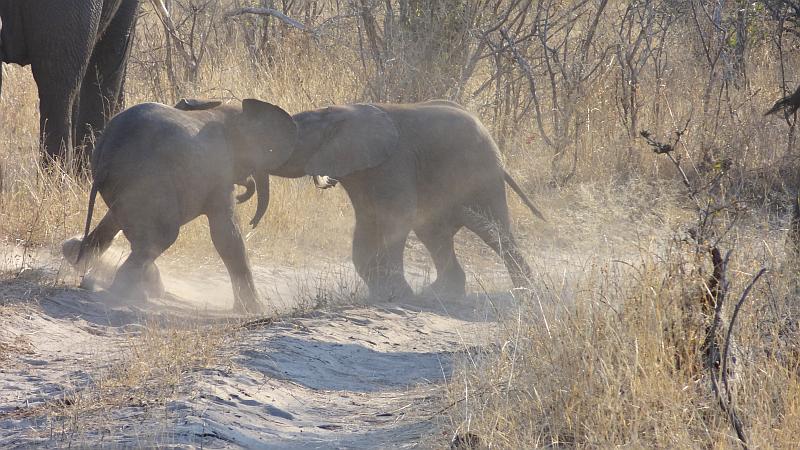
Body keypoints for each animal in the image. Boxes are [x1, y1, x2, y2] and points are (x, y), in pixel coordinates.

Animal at [59, 98, 296, 312]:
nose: (253, 222)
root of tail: (109, 151)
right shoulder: (219, 170)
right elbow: (226, 235)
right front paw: (255, 310)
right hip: (148, 179)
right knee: (162, 236)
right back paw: (127, 293)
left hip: (124, 183)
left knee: (135, 232)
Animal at [266, 100, 548, 300]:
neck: (335, 113)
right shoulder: (360, 171)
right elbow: (367, 222)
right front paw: (381, 293)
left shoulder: (394, 161)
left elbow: (396, 217)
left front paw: (395, 294)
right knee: (433, 232)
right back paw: (440, 293)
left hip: (480, 171)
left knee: (492, 230)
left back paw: (525, 294)